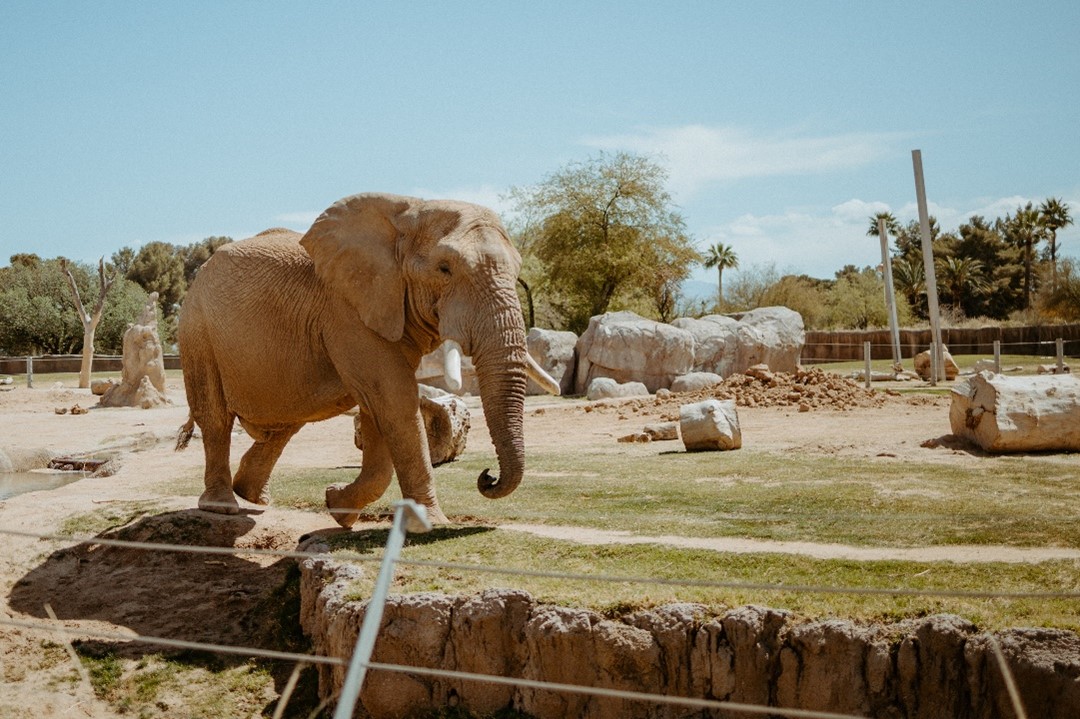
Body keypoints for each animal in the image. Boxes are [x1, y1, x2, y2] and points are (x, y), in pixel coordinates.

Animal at [176, 193, 557, 524]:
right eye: (445, 269)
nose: (487, 477)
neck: (409, 211)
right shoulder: (348, 312)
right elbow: (393, 398)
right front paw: (430, 524)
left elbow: (379, 408)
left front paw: (337, 507)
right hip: (197, 329)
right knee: (216, 417)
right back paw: (222, 505)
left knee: (288, 420)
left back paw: (253, 495)